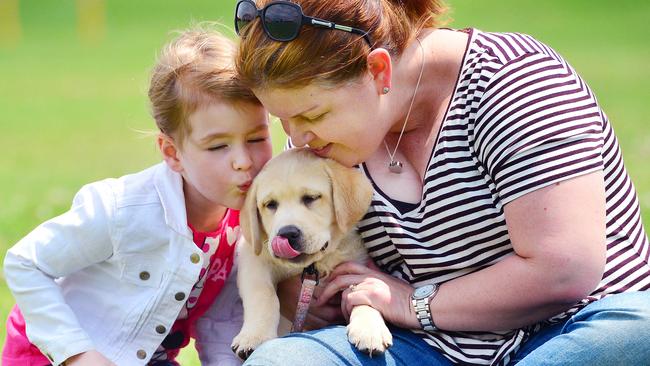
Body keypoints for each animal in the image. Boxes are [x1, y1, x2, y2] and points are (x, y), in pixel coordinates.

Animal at [230, 147, 390, 358]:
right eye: (270, 204)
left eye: (311, 198)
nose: (287, 233)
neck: (314, 265)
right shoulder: (253, 258)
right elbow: (263, 294)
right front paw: (255, 337)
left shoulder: (355, 264)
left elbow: (362, 291)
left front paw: (370, 329)